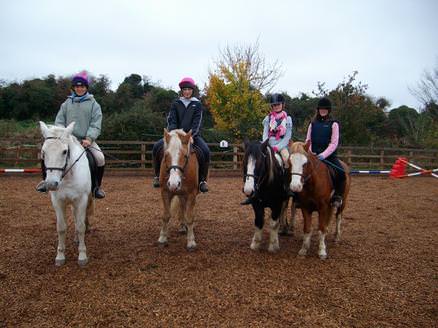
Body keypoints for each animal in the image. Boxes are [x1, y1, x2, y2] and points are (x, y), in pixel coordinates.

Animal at [39, 121, 94, 266]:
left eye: (64, 151)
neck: (67, 176)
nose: (51, 184)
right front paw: (60, 256)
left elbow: (80, 226)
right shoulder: (57, 201)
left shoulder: (81, 200)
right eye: (43, 152)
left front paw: (82, 256)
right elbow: (61, 227)